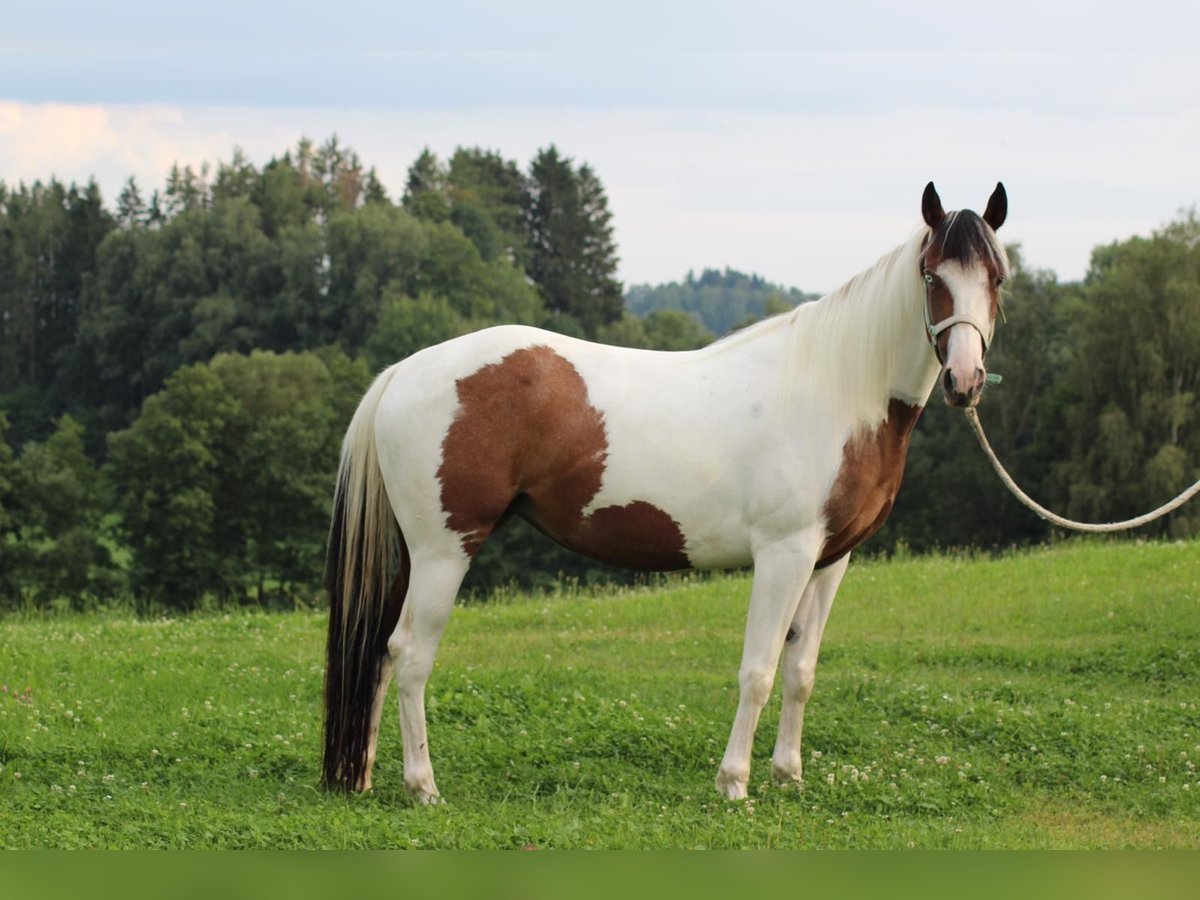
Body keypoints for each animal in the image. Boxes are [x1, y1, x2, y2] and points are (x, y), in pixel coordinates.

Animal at [324, 183, 1008, 801]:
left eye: (997, 278)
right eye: (931, 275)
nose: (965, 380)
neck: (833, 388)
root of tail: (404, 372)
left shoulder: (829, 560)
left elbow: (800, 671)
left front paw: (789, 776)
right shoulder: (783, 555)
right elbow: (758, 671)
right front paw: (734, 784)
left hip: (416, 555)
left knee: (381, 655)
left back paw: (364, 775)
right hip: (445, 552)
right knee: (411, 654)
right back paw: (423, 787)